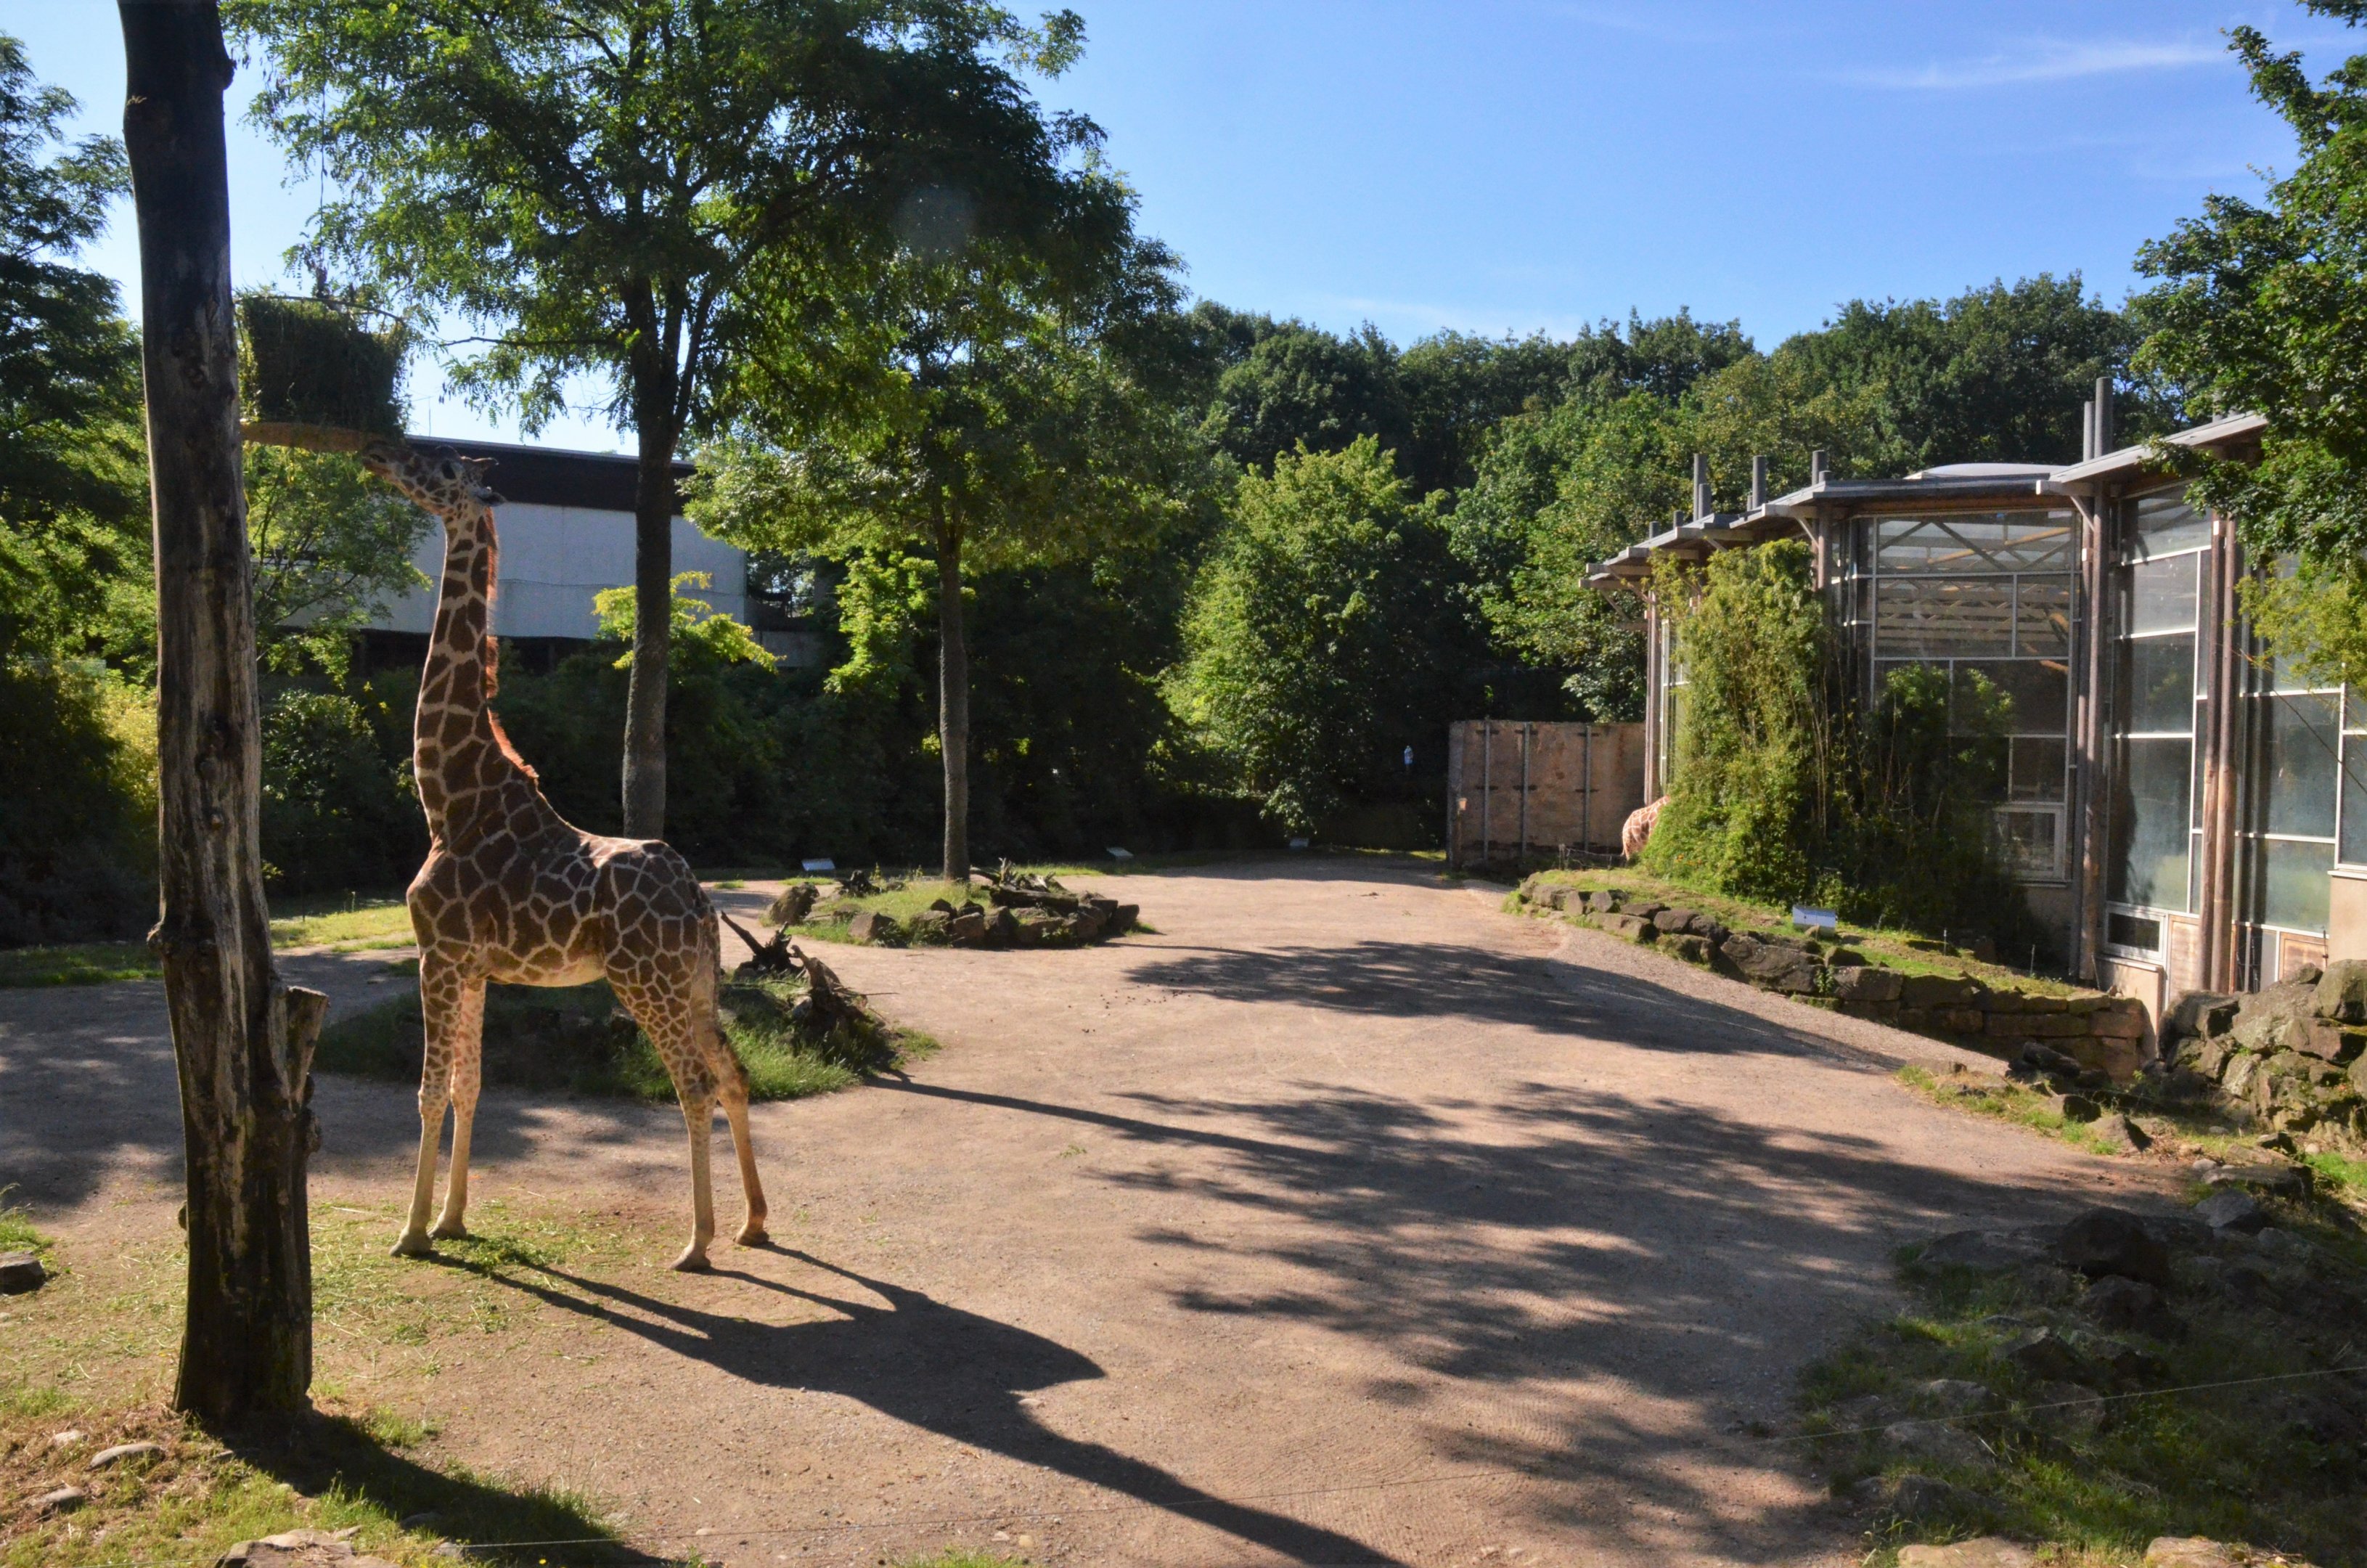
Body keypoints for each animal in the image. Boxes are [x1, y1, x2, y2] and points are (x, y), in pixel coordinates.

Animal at [357, 441, 768, 1271]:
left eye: (438, 465)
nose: (379, 454)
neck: (448, 797)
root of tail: (701, 900)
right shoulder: (474, 966)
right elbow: (469, 1087)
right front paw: (452, 1219)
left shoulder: (437, 953)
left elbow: (428, 1091)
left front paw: (411, 1232)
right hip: (695, 982)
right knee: (734, 1074)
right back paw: (752, 1224)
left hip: (645, 982)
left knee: (693, 1085)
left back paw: (697, 1242)